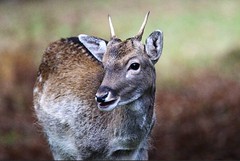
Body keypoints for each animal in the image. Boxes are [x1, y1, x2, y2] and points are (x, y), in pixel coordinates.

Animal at [33, 11, 163, 160]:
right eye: (104, 65)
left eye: (135, 65)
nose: (101, 97)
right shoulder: (83, 149)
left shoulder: (143, 147)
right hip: (54, 142)